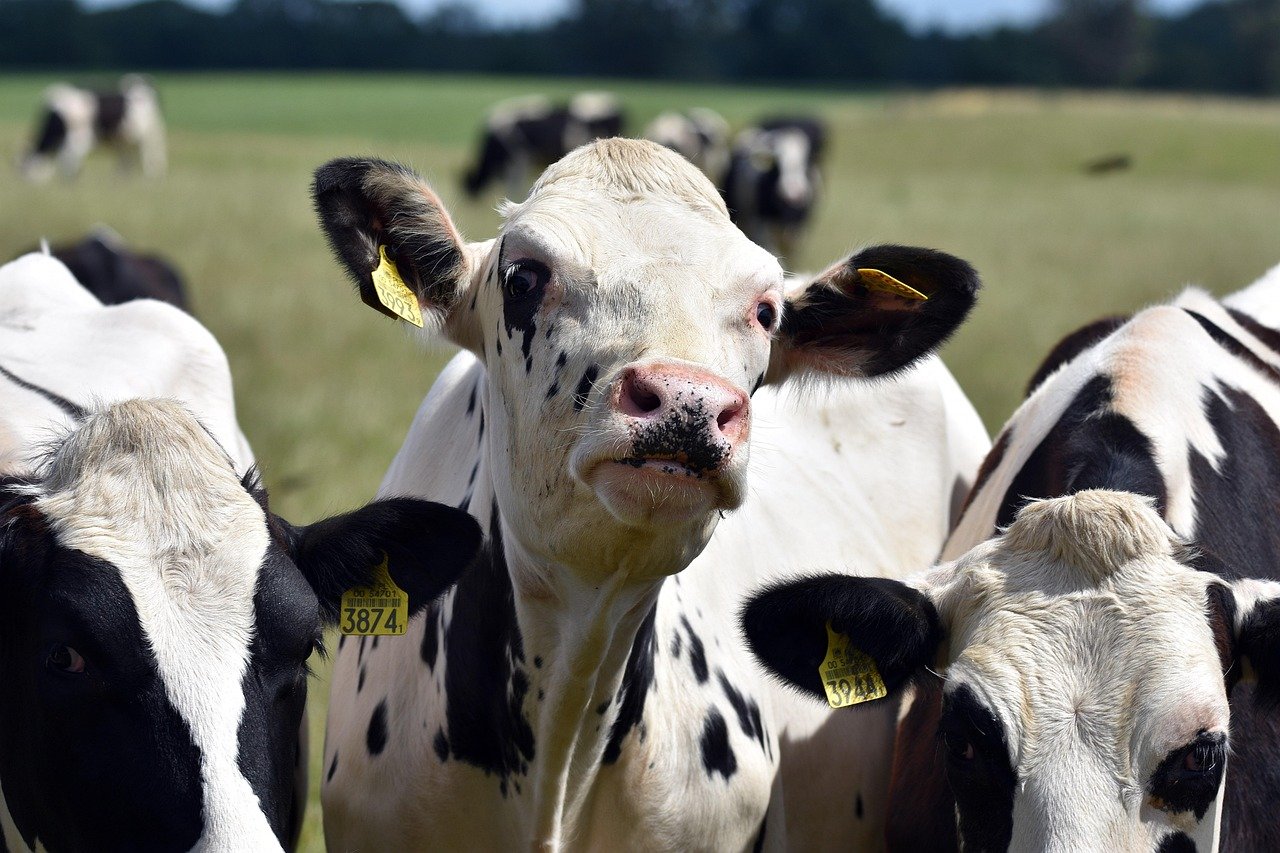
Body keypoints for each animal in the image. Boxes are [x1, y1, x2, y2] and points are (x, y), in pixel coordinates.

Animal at [20, 75, 166, 182]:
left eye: (24, 169)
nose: (24, 185)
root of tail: (142, 88)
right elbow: (68, 158)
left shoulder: (80, 138)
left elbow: (68, 158)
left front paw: (70, 181)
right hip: (123, 138)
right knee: (126, 157)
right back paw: (121, 179)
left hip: (150, 134)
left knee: (152, 153)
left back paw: (152, 176)